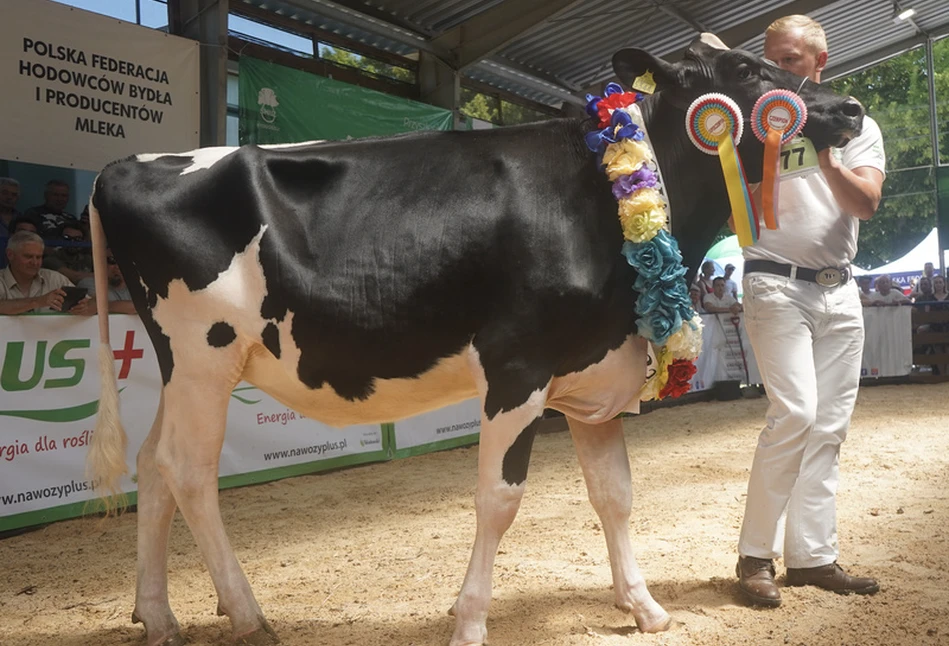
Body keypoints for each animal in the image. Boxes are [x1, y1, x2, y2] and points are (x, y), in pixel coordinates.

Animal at [85, 36, 864, 646]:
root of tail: (127, 163)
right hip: (203, 354)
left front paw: (642, 607)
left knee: (153, 467)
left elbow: (614, 495)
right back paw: (247, 615)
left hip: (185, 368)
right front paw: (468, 621)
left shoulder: (595, 374)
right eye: (746, 71)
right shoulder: (517, 366)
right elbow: (499, 499)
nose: (851, 109)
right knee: (188, 471)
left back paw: (158, 616)